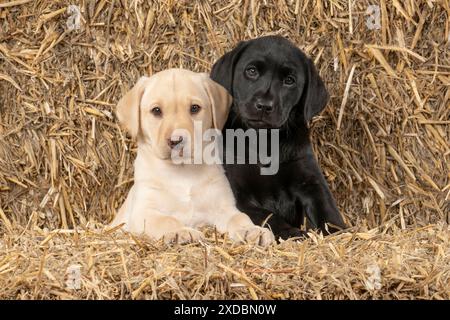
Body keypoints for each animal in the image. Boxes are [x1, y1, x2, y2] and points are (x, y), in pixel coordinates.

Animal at [111, 69, 274, 246]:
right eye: (156, 111)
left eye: (194, 108)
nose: (176, 140)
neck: (182, 172)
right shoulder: (143, 213)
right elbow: (167, 220)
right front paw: (180, 231)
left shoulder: (224, 209)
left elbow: (240, 217)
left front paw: (251, 230)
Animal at [211, 35, 348, 240]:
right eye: (251, 71)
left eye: (289, 81)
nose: (264, 105)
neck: (263, 141)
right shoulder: (237, 195)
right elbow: (268, 216)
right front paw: (292, 233)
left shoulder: (311, 182)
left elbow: (328, 211)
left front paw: (341, 232)